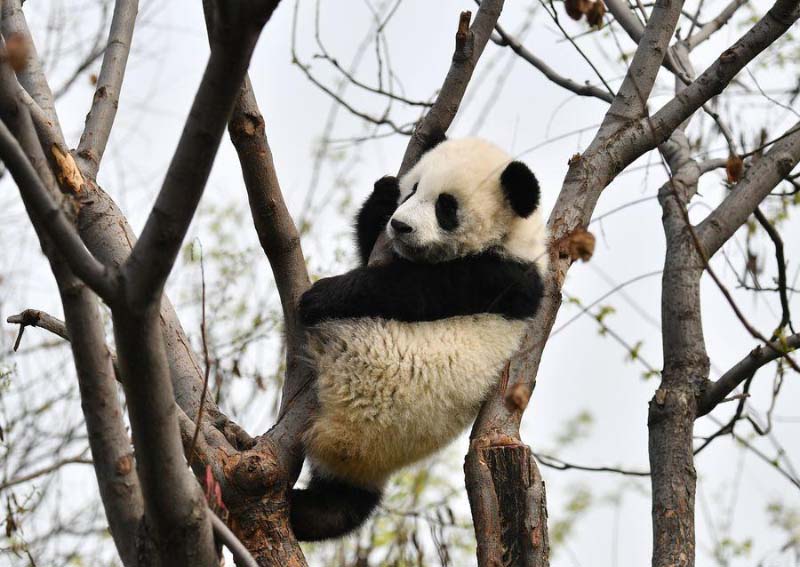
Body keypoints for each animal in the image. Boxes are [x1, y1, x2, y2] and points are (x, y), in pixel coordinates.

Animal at [291, 137, 548, 541]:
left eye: (446, 206)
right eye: (412, 189)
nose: (400, 225)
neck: (512, 238)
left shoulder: (500, 277)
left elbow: (411, 290)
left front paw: (321, 295)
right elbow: (372, 246)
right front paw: (382, 195)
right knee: (341, 506)